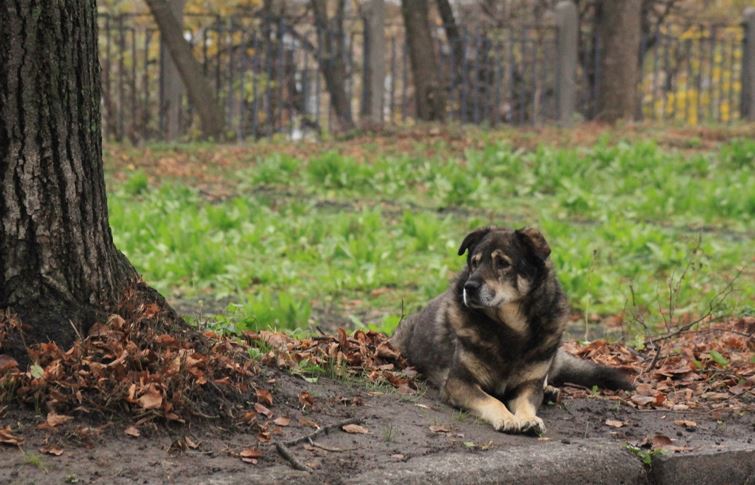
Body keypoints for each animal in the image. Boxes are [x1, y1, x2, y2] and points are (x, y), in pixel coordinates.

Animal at [392, 227, 636, 434]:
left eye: (502, 263)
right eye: (475, 263)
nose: (469, 287)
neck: (510, 329)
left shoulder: (528, 385)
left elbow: (527, 401)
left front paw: (528, 418)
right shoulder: (458, 382)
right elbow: (491, 400)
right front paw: (507, 418)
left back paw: (549, 391)